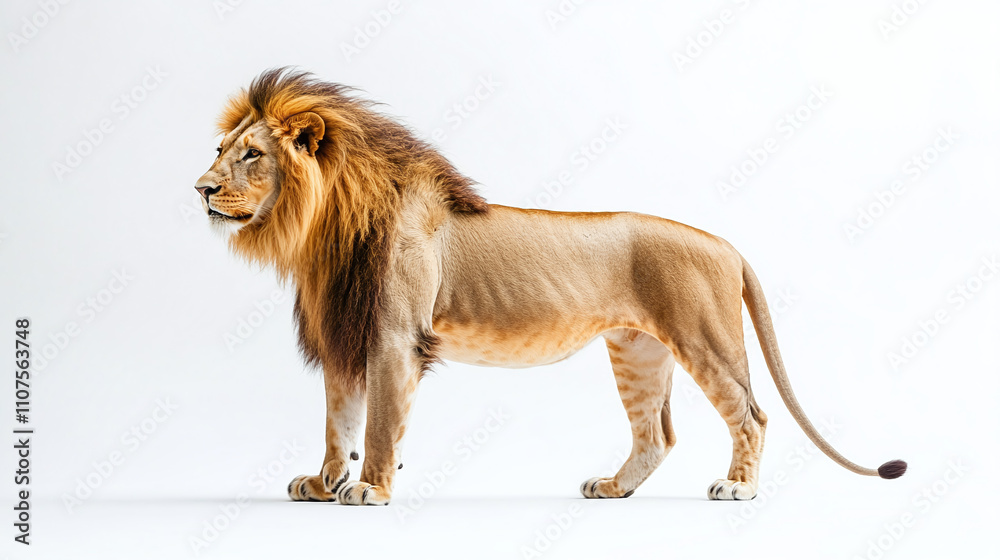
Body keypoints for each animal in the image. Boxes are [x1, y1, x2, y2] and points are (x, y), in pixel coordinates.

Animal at [194, 68, 906, 505]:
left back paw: (738, 488)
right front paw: (323, 485)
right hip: (637, 350)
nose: (199, 188)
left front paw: (370, 488)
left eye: (253, 154)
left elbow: (379, 423)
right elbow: (336, 421)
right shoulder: (344, 338)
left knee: (751, 414)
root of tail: (728, 245)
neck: (317, 232)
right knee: (657, 434)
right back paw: (614, 489)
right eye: (222, 148)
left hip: (707, 339)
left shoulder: (393, 335)